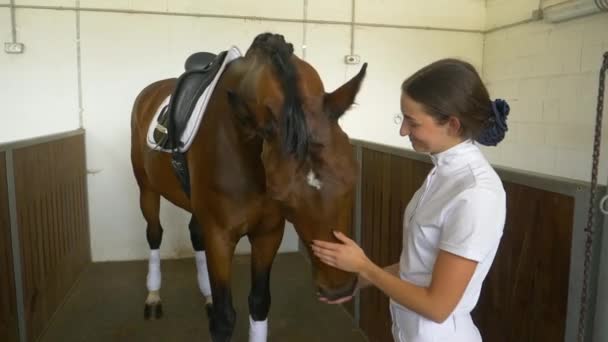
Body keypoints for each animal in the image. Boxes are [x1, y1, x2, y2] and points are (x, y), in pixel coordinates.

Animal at [129, 32, 366, 342]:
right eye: (284, 196)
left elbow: (259, 302)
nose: (339, 289)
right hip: (147, 189)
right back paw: (153, 296)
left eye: (352, 179)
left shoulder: (268, 233)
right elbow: (224, 318)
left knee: (195, 234)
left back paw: (205, 294)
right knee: (154, 233)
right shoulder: (220, 236)